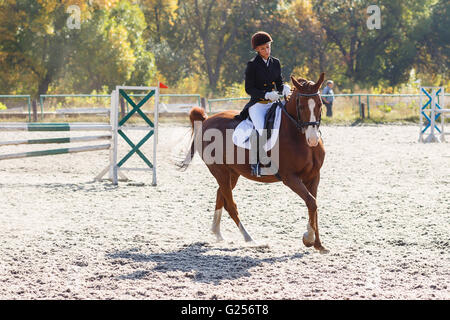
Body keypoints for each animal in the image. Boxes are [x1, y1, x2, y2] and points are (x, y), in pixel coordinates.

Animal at [180, 74, 330, 254]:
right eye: (300, 106)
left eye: (320, 104)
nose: (313, 139)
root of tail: (206, 120)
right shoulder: (290, 178)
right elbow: (311, 202)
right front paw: (308, 238)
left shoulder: (314, 176)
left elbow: (313, 205)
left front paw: (318, 244)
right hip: (219, 171)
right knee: (230, 204)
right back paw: (250, 240)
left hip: (232, 173)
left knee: (220, 195)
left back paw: (218, 234)